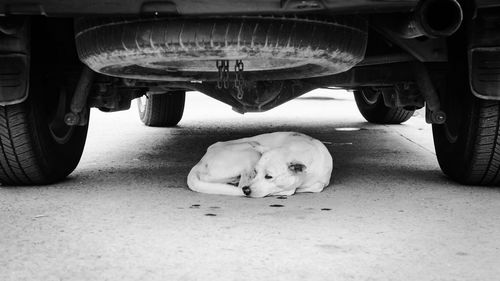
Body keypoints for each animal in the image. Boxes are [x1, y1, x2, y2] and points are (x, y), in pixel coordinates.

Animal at [187, 131, 332, 197]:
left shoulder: (320, 182)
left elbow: (316, 186)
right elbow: (291, 190)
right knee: (241, 181)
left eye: (269, 176)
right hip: (250, 152)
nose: (246, 190)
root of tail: (200, 163)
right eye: (255, 172)